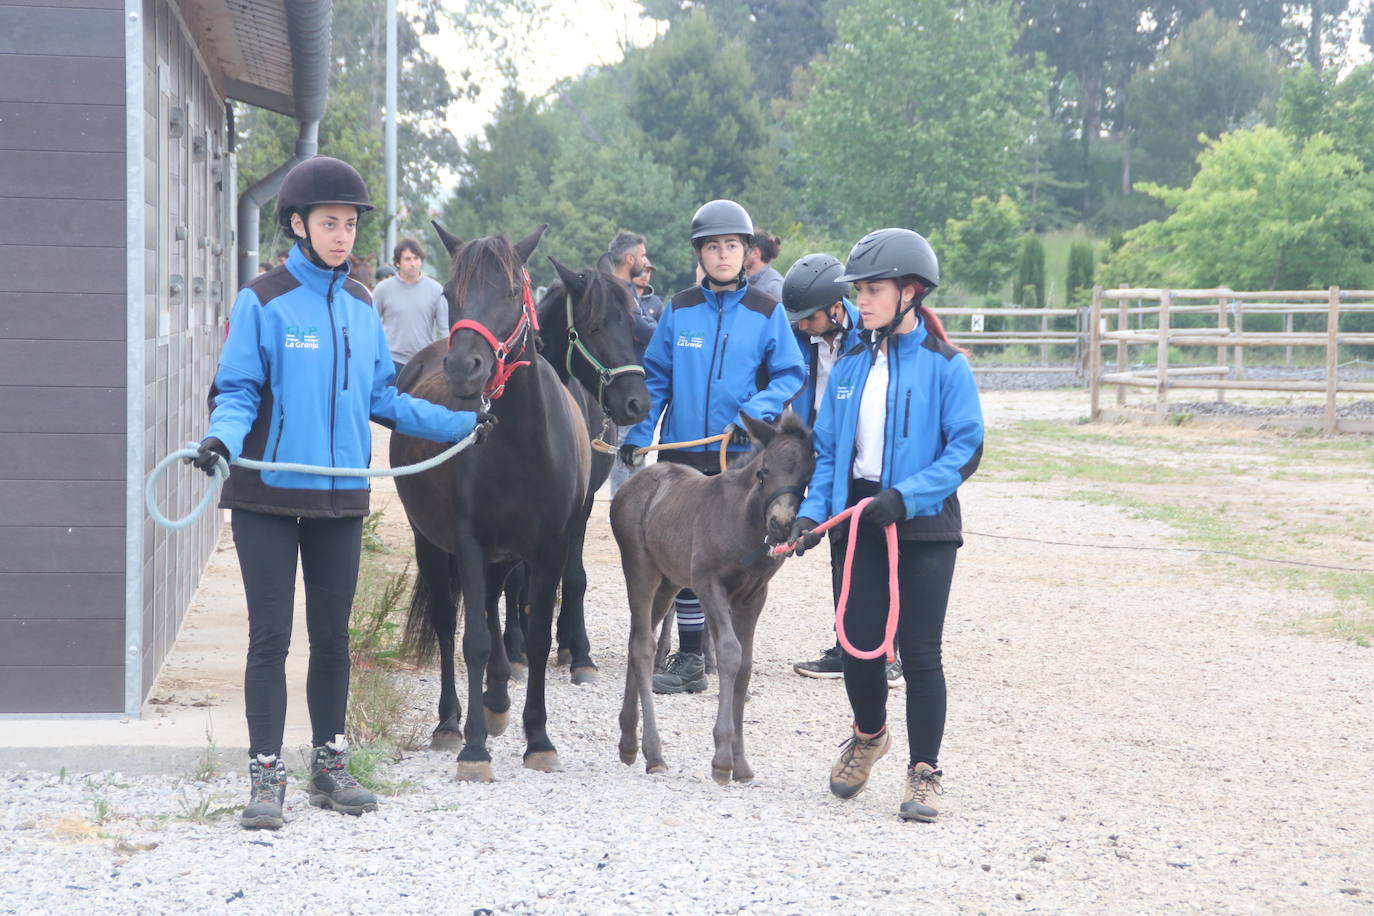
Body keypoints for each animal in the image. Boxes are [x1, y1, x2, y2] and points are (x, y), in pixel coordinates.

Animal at [612, 414, 813, 780]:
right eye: (764, 471)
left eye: (807, 476)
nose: (780, 523)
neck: (742, 523)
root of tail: (632, 484)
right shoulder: (708, 584)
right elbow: (730, 654)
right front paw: (722, 759)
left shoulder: (754, 596)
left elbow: (745, 665)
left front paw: (741, 763)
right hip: (640, 569)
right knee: (643, 646)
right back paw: (654, 753)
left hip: (668, 582)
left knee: (637, 639)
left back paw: (629, 742)